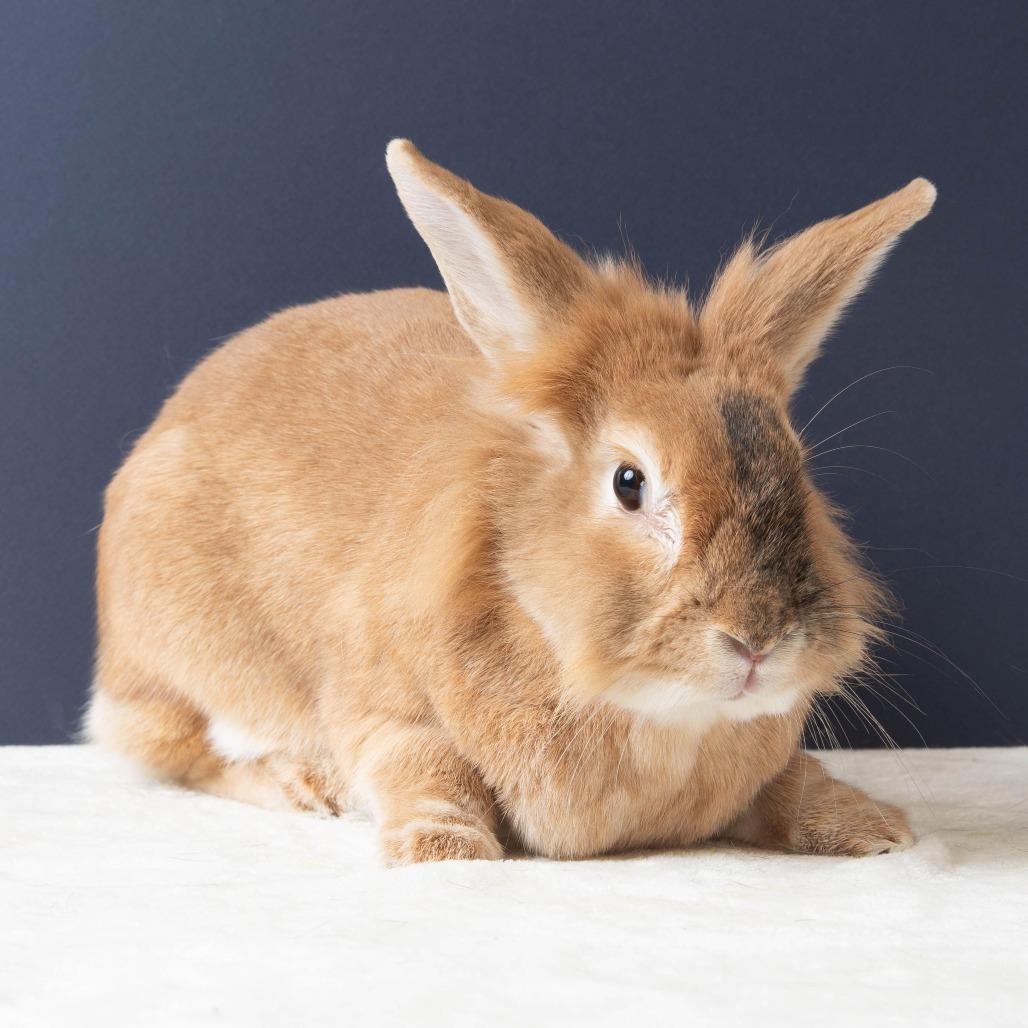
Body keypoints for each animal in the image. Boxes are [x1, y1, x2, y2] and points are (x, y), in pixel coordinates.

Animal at [86, 139, 935, 864]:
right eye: (629, 482)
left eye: (798, 469)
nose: (758, 640)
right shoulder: (384, 704)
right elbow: (423, 764)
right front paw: (442, 847)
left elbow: (790, 780)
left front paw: (874, 828)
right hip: (179, 655)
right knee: (177, 750)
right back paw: (303, 785)